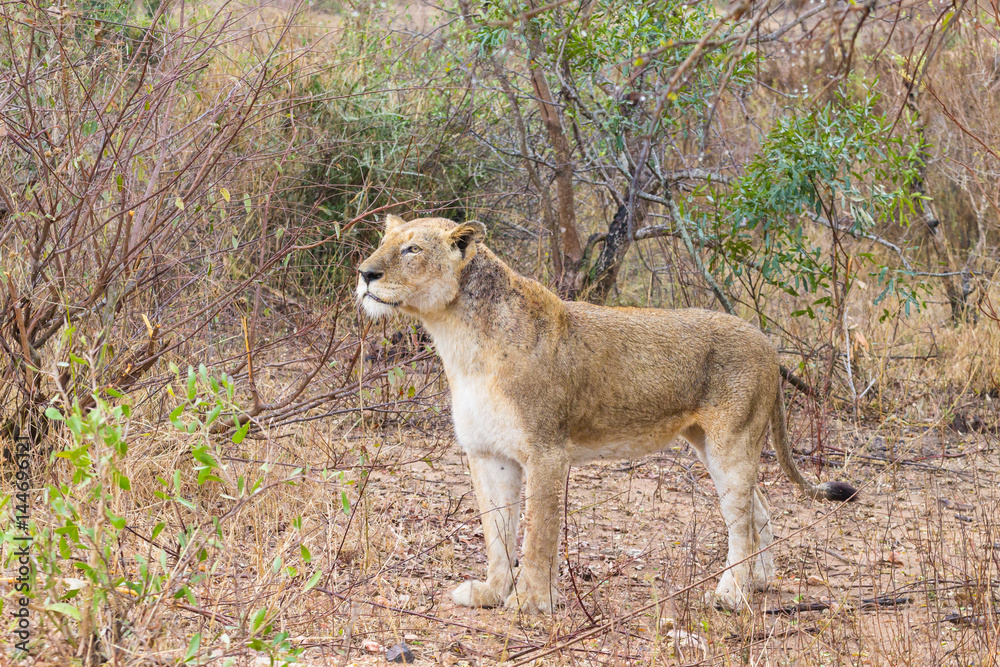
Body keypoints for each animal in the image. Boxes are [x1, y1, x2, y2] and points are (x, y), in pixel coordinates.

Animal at [356, 214, 857, 613]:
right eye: (385, 241)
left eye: (413, 248)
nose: (365, 273)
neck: (458, 339)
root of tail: (767, 343)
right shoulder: (487, 453)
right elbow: (496, 533)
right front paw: (492, 593)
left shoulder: (546, 452)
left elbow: (537, 535)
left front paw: (529, 602)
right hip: (709, 445)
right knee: (759, 509)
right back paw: (757, 581)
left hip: (731, 442)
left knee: (742, 524)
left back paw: (731, 593)